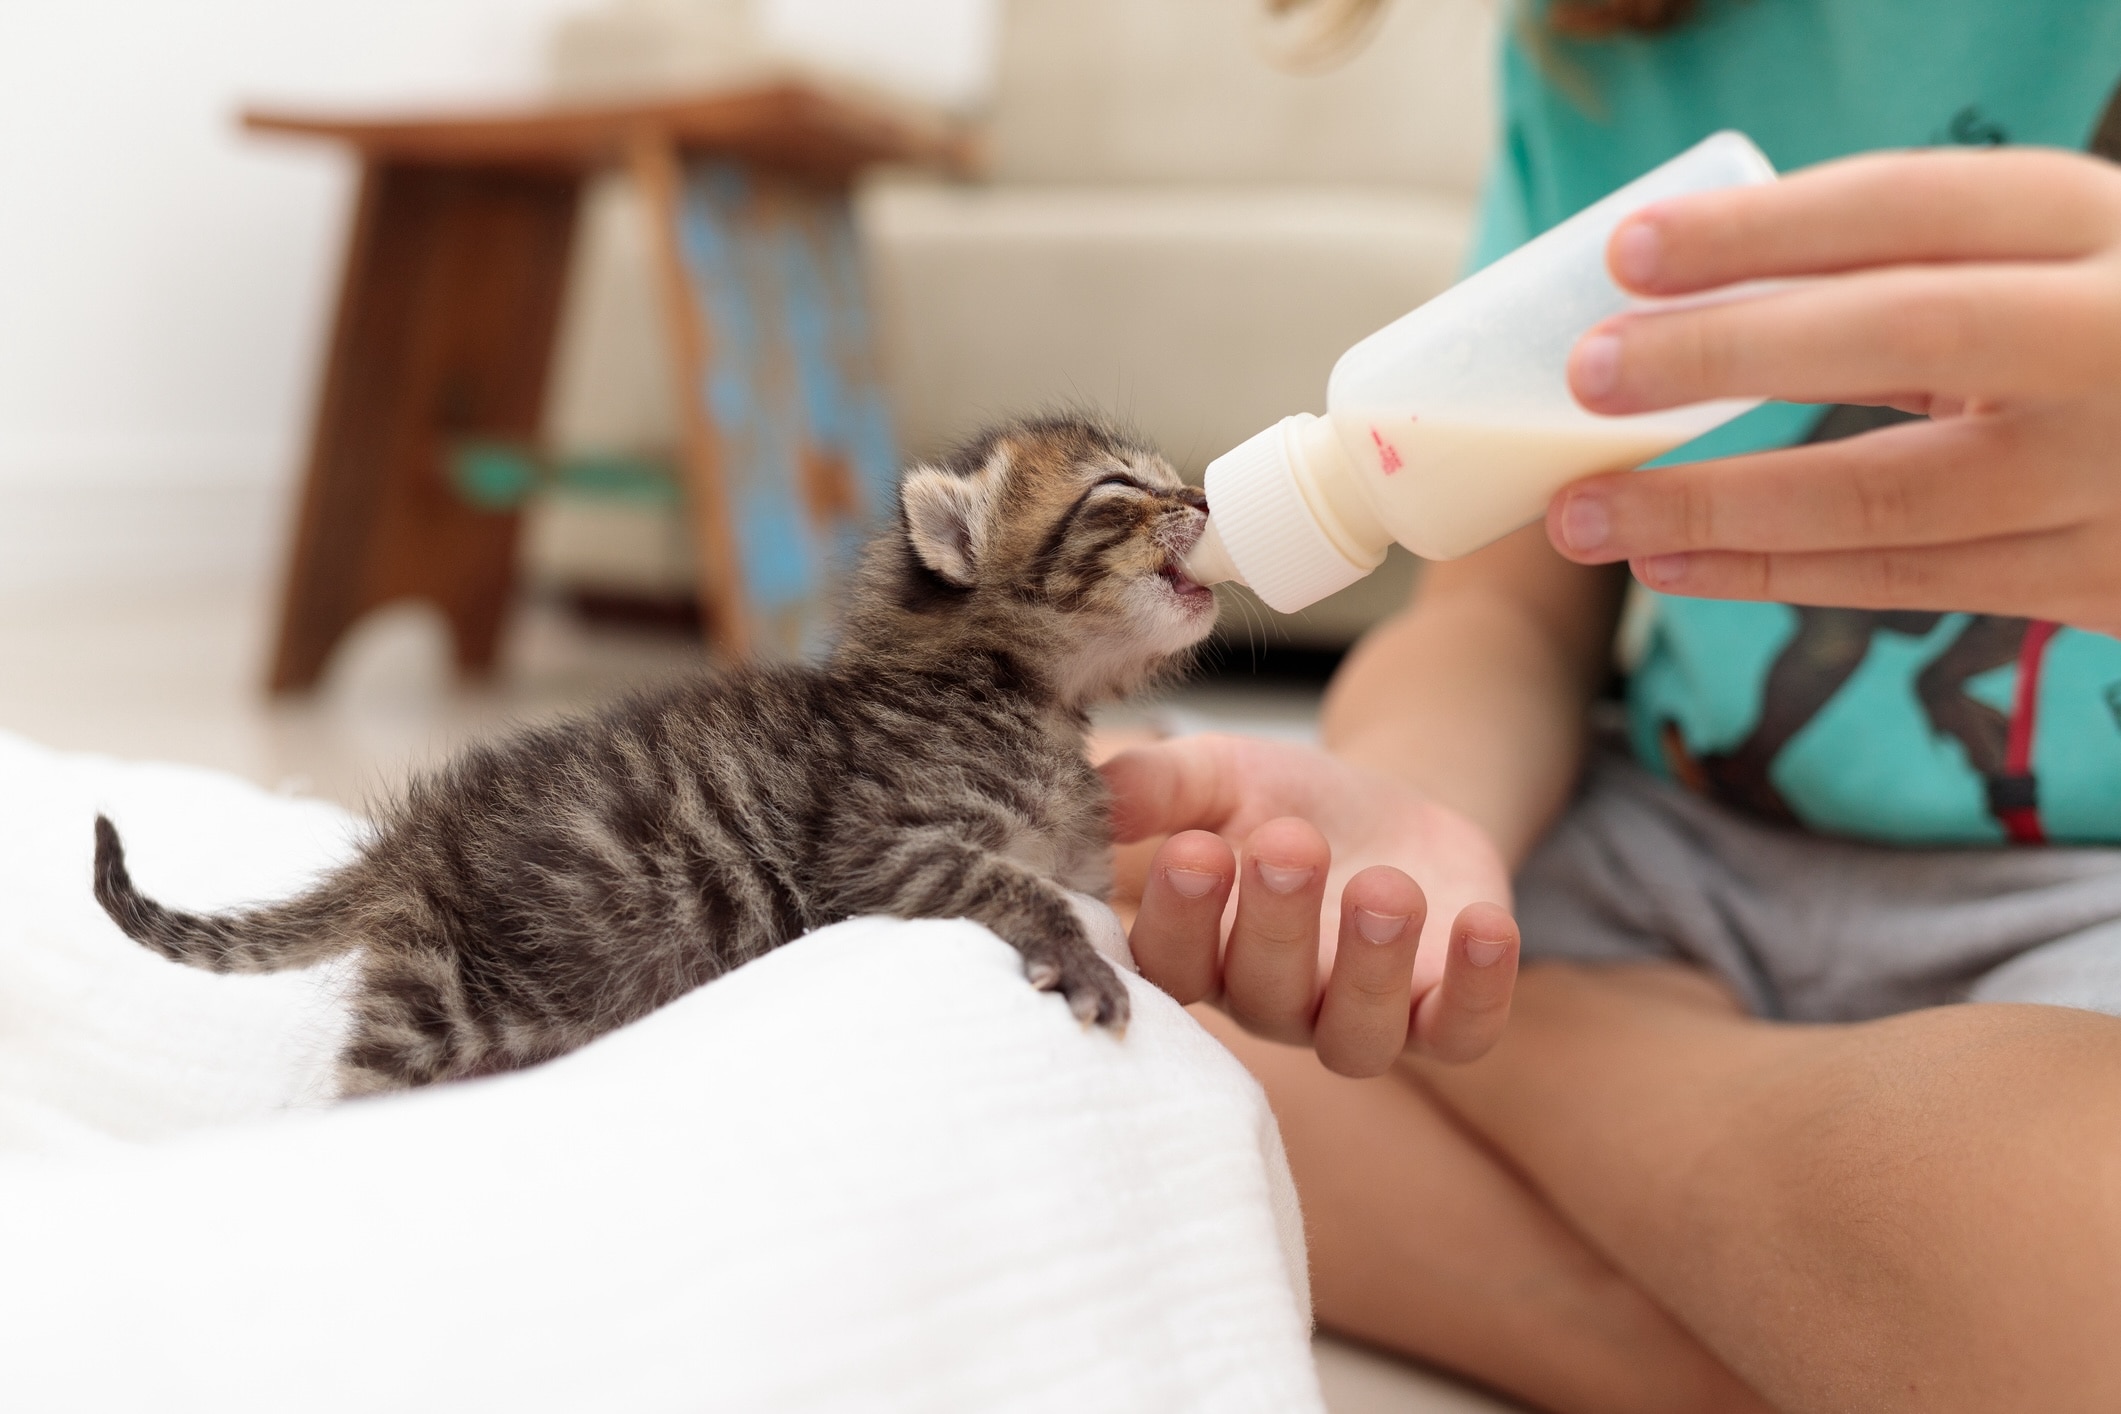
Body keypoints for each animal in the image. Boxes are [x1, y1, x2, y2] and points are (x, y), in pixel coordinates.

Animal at [95, 415, 1213, 1102]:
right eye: (1121, 486)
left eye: (1170, 479)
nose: (1203, 497)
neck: (1016, 699)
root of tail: (410, 843)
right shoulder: (876, 847)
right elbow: (1016, 887)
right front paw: (1076, 961)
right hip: (442, 1006)